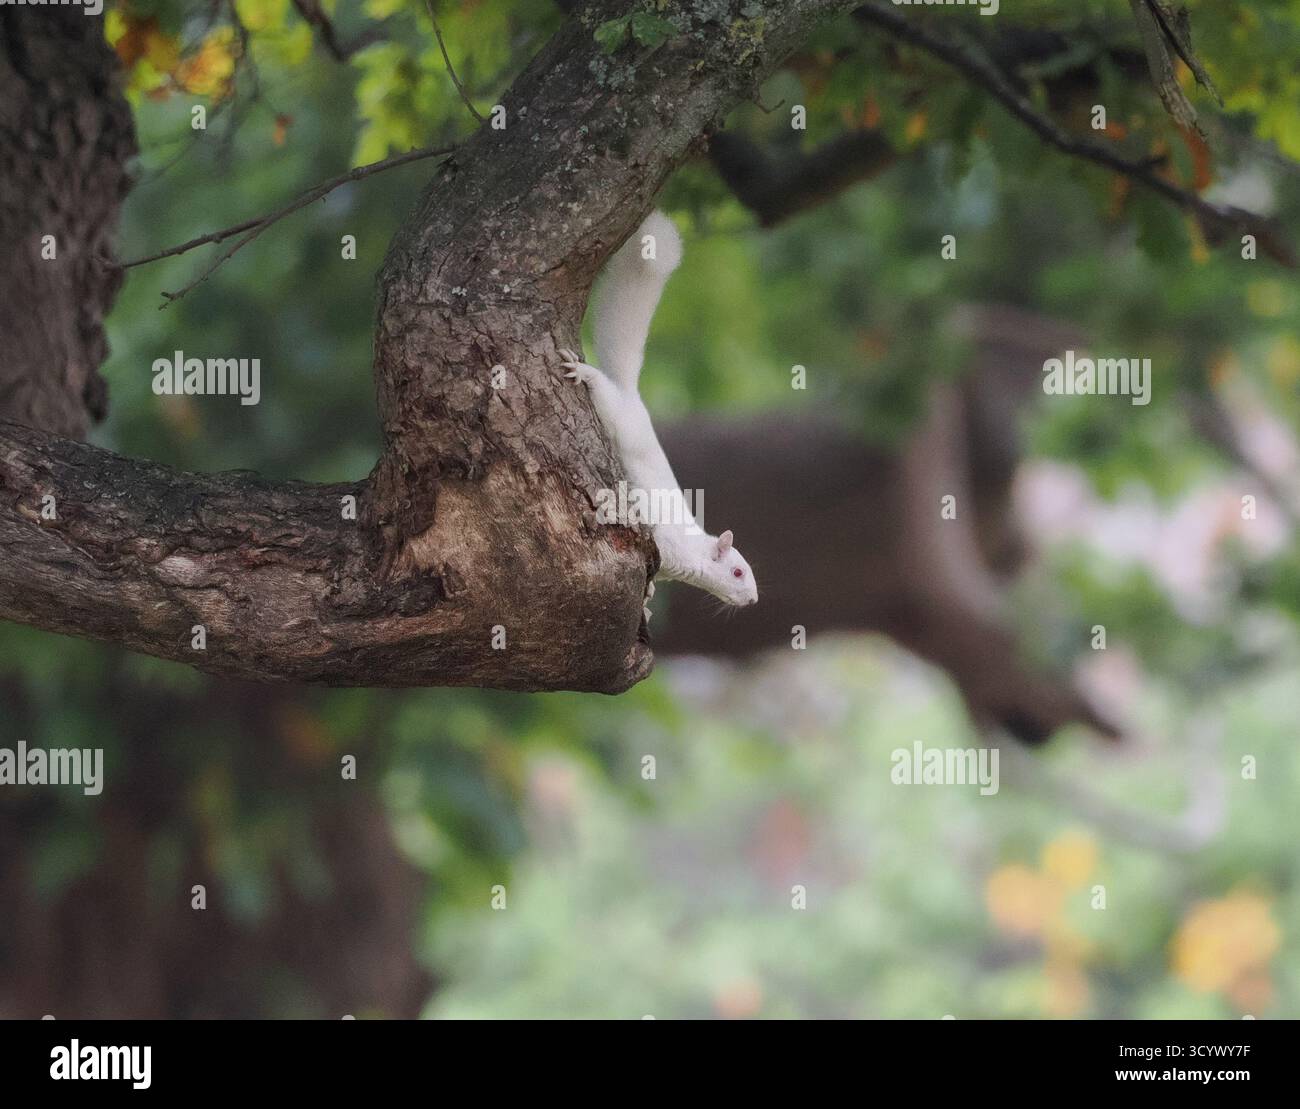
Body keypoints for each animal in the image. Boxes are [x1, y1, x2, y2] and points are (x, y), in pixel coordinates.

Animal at [559, 209, 757, 620]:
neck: (692, 554)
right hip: (616, 416)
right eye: (736, 572)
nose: (753, 599)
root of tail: (631, 395)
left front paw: (648, 597)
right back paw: (585, 374)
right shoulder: (663, 543)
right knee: (603, 392)